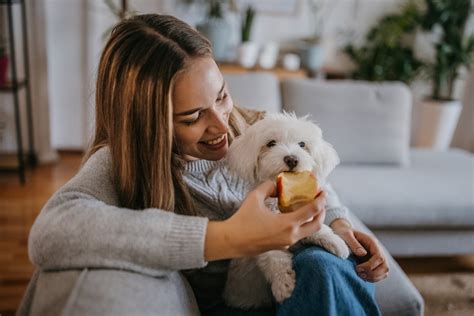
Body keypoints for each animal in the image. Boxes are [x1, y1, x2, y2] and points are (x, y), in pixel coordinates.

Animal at [224, 111, 350, 308]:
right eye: (271, 143)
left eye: (302, 144)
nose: (291, 159)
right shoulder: (260, 233)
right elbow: (274, 259)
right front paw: (283, 285)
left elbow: (318, 228)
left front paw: (337, 243)